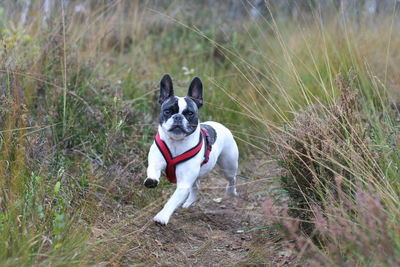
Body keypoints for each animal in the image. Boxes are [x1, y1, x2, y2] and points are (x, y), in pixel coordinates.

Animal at [144, 74, 238, 226]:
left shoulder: (183, 184)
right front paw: (151, 180)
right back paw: (189, 202)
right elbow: (153, 170)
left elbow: (172, 201)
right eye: (167, 111)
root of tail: (218, 124)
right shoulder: (156, 162)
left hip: (228, 165)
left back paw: (231, 192)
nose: (177, 117)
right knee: (196, 185)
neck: (176, 142)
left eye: (189, 113)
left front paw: (162, 216)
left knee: (232, 179)